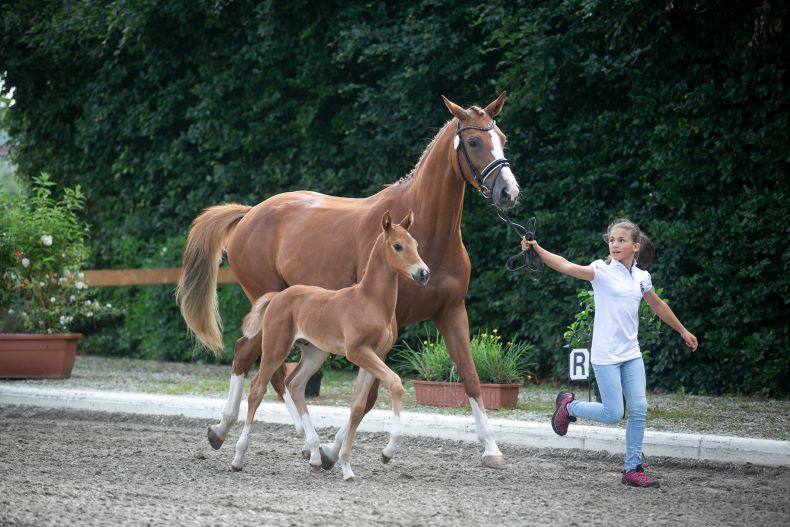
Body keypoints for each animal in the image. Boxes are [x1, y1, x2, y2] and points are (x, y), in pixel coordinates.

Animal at [230, 211, 426, 482]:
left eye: (415, 244)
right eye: (397, 246)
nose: (423, 273)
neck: (370, 302)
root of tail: (277, 296)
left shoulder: (374, 354)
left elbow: (357, 407)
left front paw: (346, 466)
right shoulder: (358, 352)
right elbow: (395, 383)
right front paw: (388, 451)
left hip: (315, 352)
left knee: (295, 384)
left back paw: (314, 455)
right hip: (275, 348)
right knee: (257, 389)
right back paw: (238, 458)